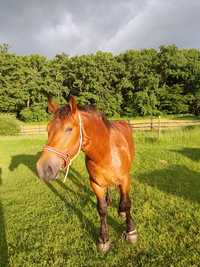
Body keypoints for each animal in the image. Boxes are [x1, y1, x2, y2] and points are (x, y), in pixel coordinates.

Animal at [36, 97, 138, 253]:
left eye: (69, 129)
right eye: (48, 129)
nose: (43, 168)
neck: (106, 152)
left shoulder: (125, 180)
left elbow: (127, 204)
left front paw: (131, 231)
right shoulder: (96, 183)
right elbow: (102, 209)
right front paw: (104, 240)